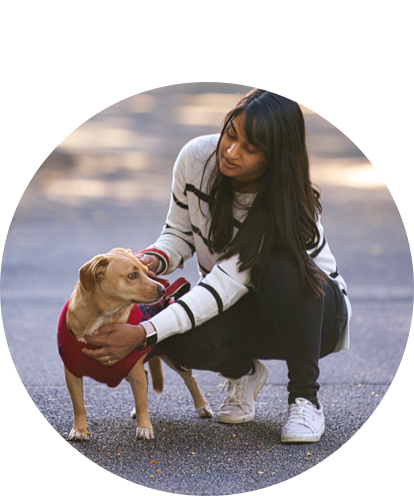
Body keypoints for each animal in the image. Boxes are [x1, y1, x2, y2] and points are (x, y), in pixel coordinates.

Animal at [57, 248, 213, 442]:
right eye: (132, 275)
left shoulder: (135, 371)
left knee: (190, 379)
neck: (104, 316)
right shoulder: (72, 373)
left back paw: (202, 405)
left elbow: (141, 402)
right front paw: (79, 430)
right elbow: (78, 405)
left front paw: (144, 427)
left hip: (172, 359)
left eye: (147, 271)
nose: (162, 289)